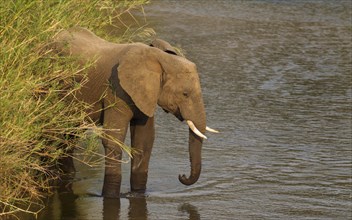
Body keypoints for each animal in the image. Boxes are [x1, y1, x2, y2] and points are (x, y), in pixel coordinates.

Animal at [54, 27, 217, 198]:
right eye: (185, 94)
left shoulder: (146, 95)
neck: (159, 58)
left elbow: (144, 140)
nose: (181, 175)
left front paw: (137, 194)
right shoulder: (116, 90)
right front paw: (111, 196)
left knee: (70, 132)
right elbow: (114, 139)